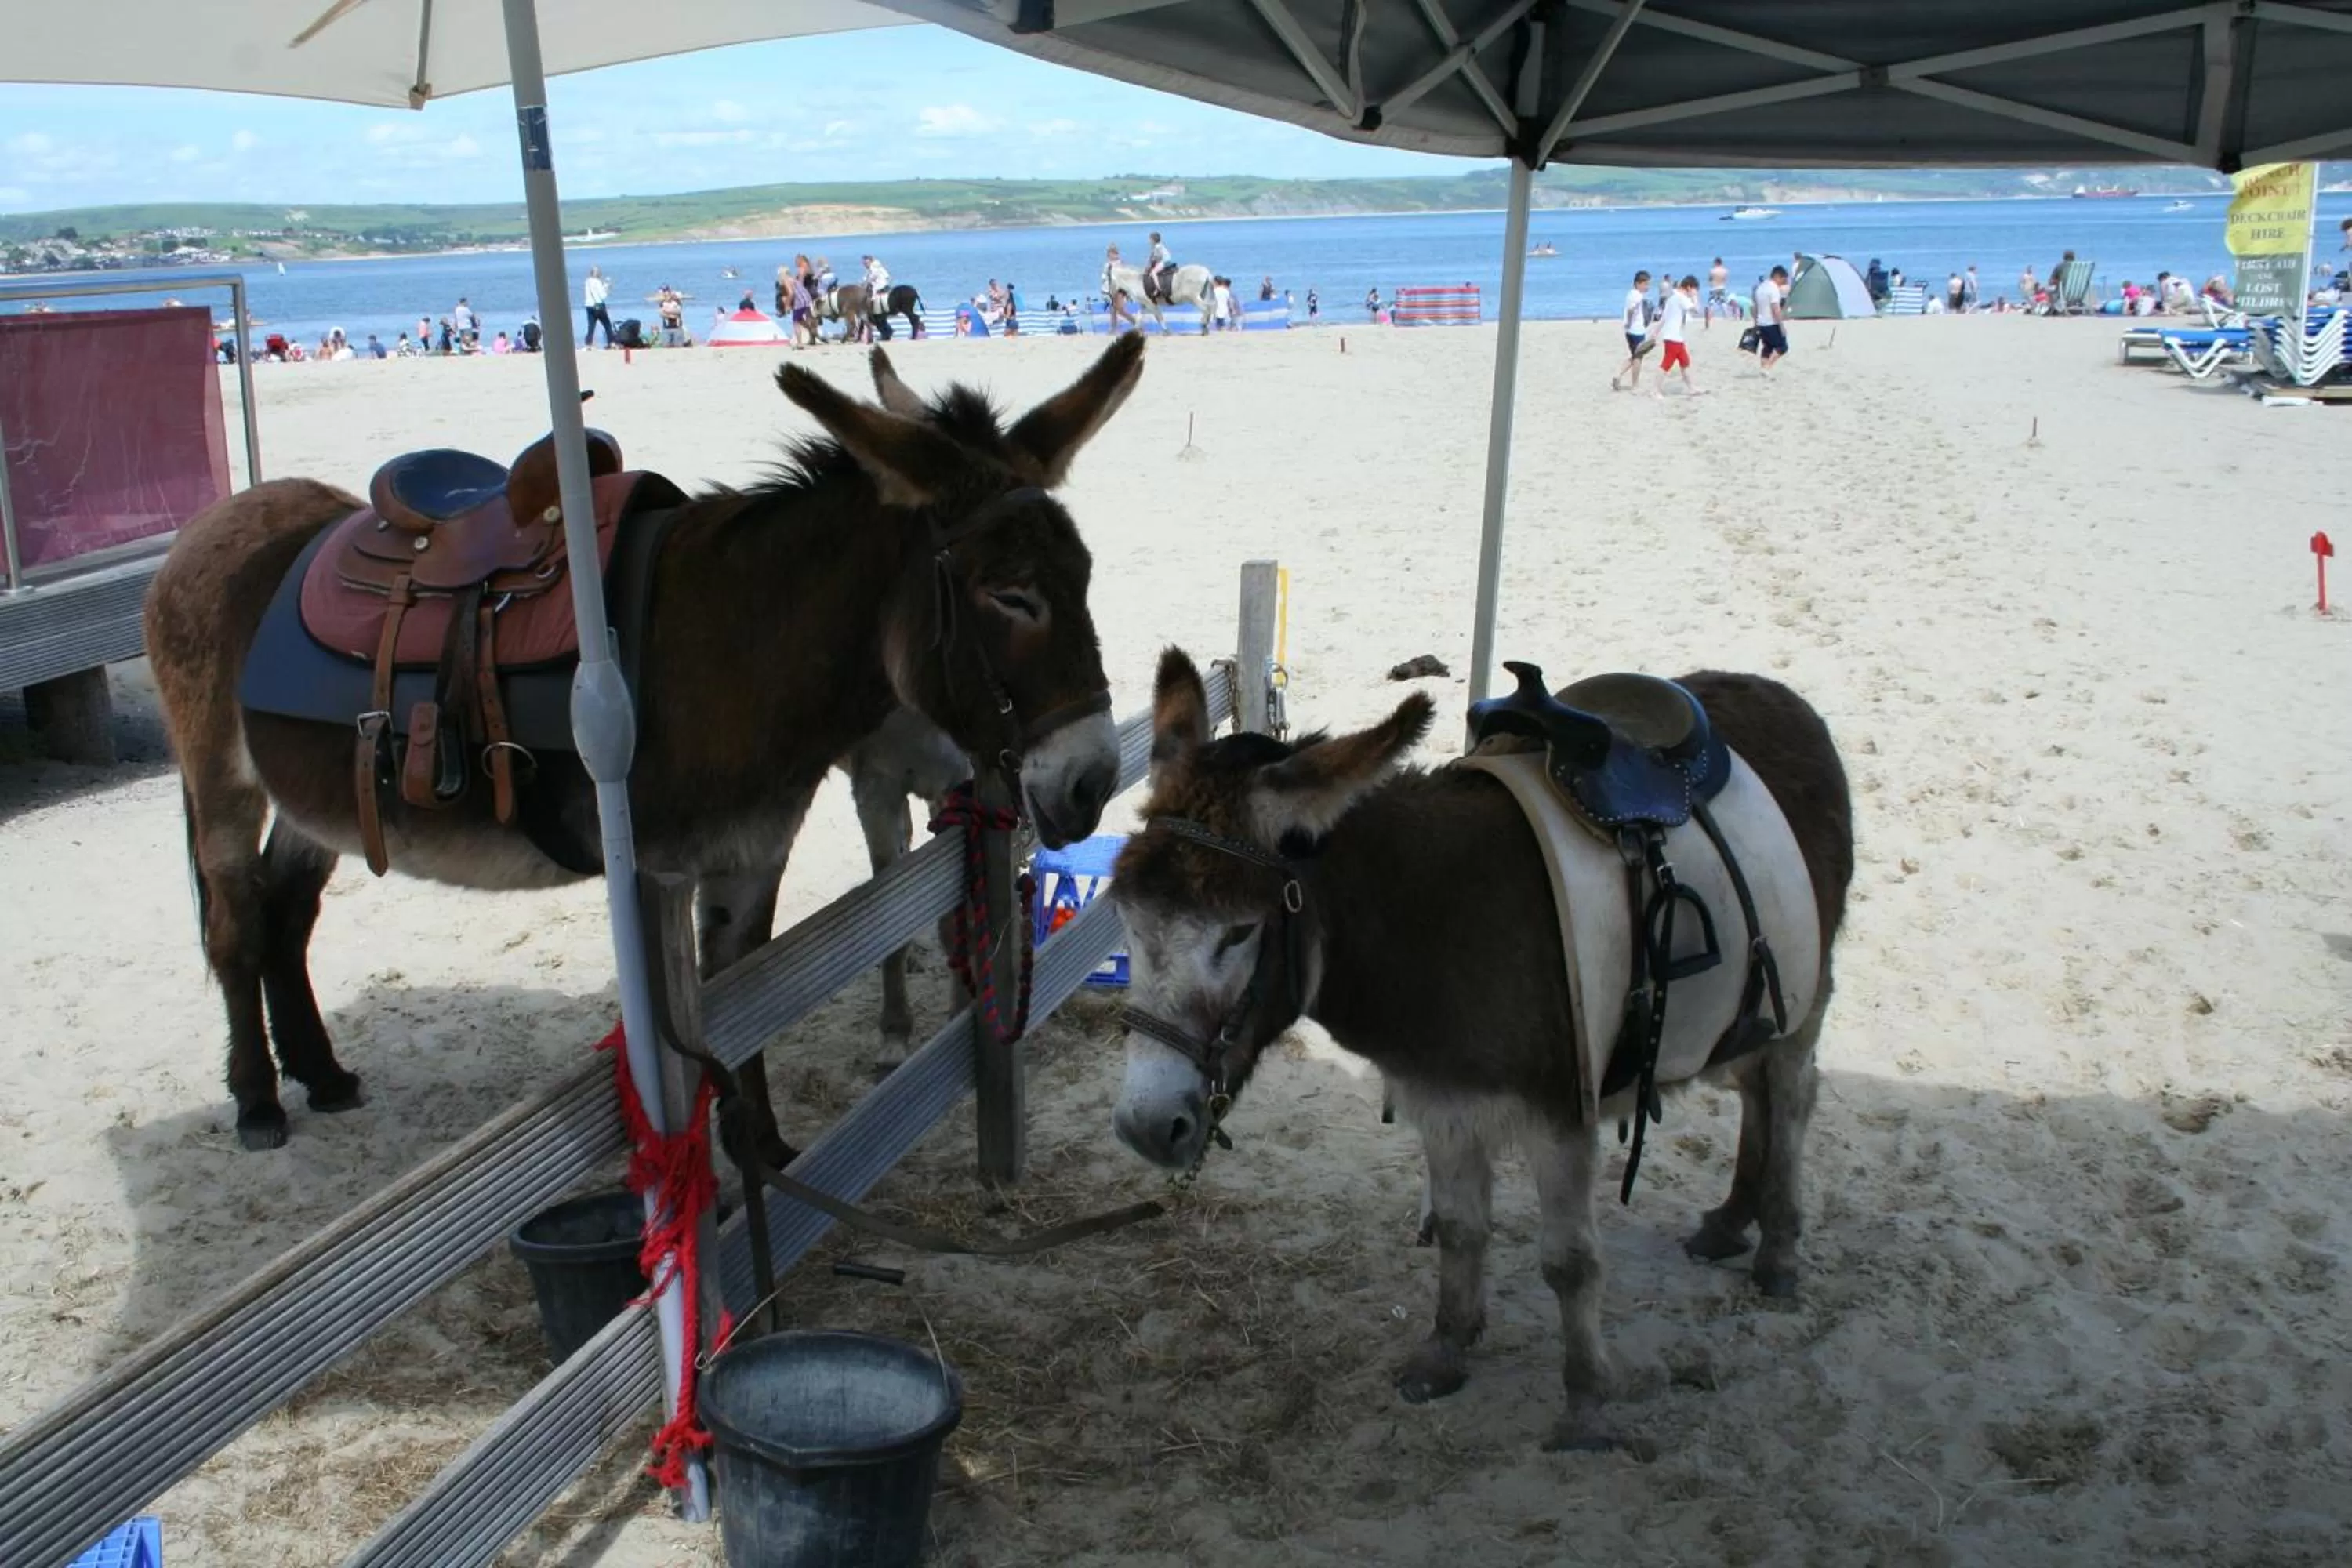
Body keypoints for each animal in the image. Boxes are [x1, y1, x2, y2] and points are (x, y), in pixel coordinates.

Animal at [144, 336, 1147, 1156]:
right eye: (1010, 593)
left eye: (1087, 574)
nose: (1094, 778)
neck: (734, 650)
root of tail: (222, 515)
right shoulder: (650, 876)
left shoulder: (749, 856)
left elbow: (743, 1004)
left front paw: (766, 1156)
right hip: (222, 779)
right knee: (237, 921)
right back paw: (257, 1101)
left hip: (316, 803)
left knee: (288, 913)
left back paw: (322, 1073)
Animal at [1104, 261, 1216, 335]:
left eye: (1104, 279)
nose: (1105, 298)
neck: (1136, 281)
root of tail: (1206, 273)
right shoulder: (1144, 305)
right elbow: (1139, 318)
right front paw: (1135, 331)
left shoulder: (1151, 304)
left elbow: (1158, 316)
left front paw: (1166, 331)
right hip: (1202, 296)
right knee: (1210, 307)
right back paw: (1206, 328)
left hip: (1194, 298)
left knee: (1206, 308)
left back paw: (1203, 326)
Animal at [1106, 649, 1855, 1454]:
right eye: (1125, 916)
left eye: (1240, 932)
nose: (1146, 1128)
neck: (1436, 926)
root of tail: (1774, 691)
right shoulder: (1441, 1100)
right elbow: (1462, 1232)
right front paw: (1448, 1351)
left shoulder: (1561, 1114)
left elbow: (1570, 1264)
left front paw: (1585, 1406)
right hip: (1749, 1011)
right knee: (1755, 1089)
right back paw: (1730, 1222)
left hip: (1803, 998)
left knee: (1791, 1097)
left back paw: (1779, 1250)